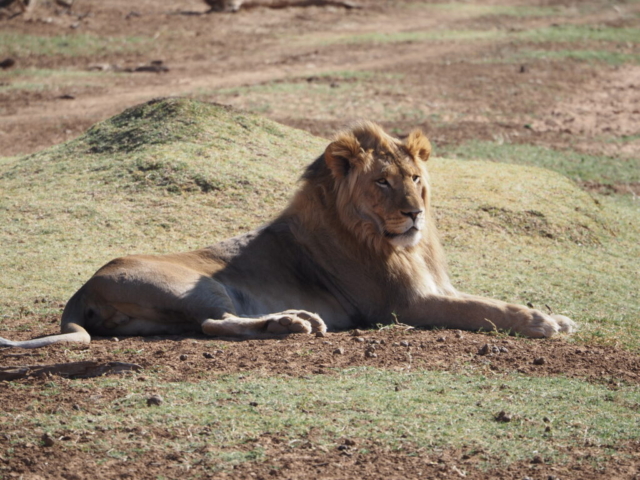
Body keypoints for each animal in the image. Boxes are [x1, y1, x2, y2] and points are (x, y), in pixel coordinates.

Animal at [0, 124, 576, 348]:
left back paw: (294, 320)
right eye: (382, 182)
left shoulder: (438, 286)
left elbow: (486, 297)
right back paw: (293, 323)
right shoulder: (404, 305)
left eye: (415, 178)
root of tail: (83, 286)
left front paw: (555, 313)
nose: (414, 214)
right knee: (214, 324)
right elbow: (485, 308)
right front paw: (542, 321)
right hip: (198, 283)